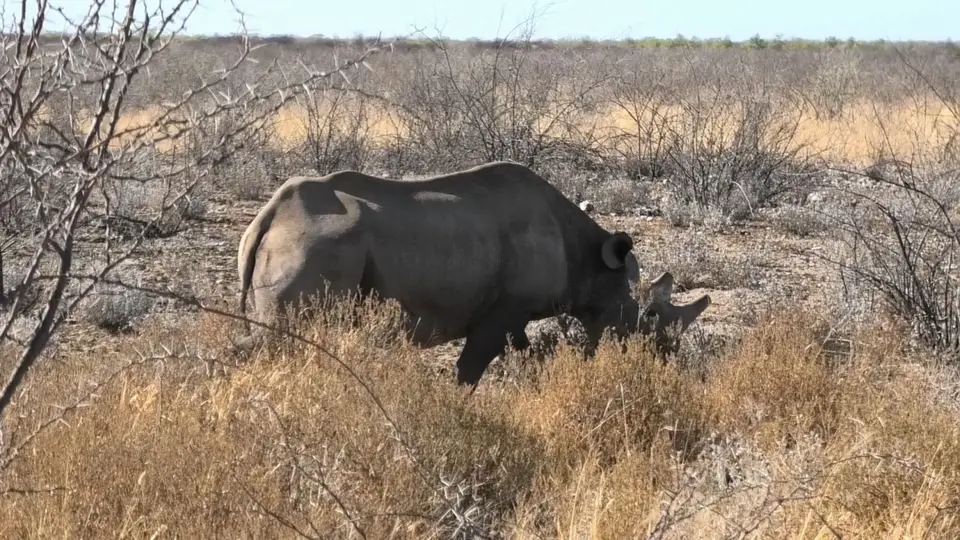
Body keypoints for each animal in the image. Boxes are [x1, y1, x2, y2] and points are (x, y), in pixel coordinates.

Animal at [237, 161, 710, 386]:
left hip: (301, 244)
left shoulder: (514, 314)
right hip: (314, 248)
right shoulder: (501, 313)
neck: (591, 261)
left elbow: (524, 355)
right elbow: (470, 370)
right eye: (644, 317)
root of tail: (268, 218)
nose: (663, 358)